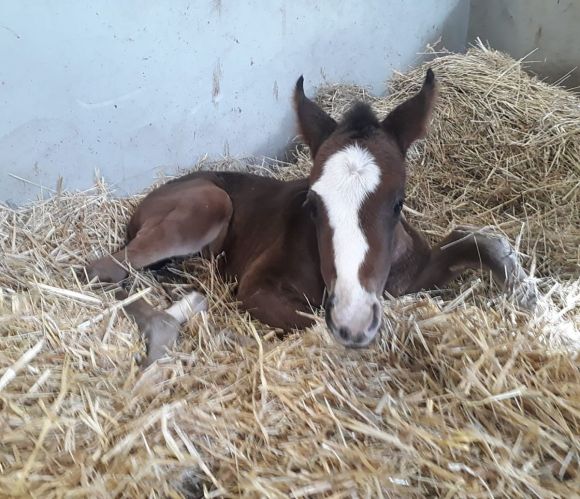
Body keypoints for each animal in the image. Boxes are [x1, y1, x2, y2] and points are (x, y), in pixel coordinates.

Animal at [85, 69, 536, 368]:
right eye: (314, 205)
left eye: (398, 203)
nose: (354, 321)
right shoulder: (257, 287)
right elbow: (311, 324)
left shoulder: (415, 271)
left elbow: (472, 241)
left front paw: (520, 286)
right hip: (209, 202)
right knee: (103, 267)